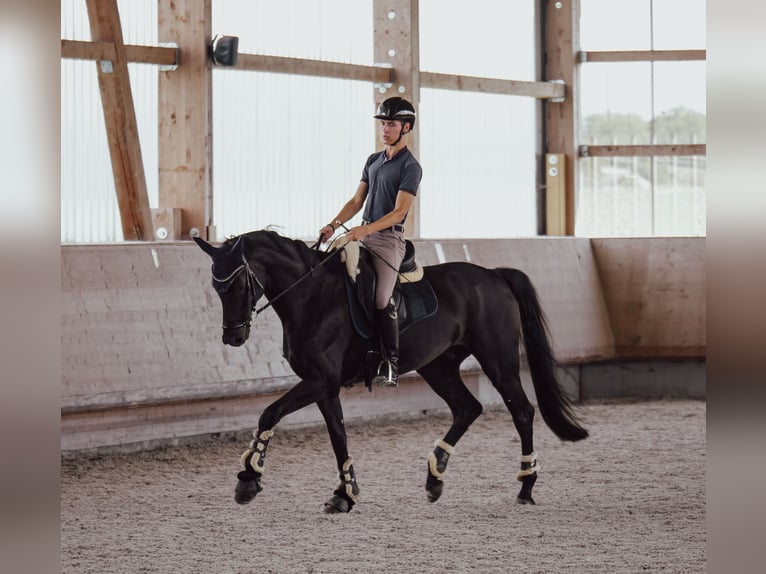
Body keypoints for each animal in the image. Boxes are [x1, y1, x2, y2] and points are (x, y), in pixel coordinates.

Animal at [194, 229, 588, 512]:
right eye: (215, 286)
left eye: (238, 282)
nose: (234, 337)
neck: (312, 296)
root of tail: (493, 275)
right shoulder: (325, 385)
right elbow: (338, 435)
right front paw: (345, 494)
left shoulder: (319, 381)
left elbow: (269, 413)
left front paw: (248, 477)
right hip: (438, 366)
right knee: (467, 408)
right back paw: (434, 478)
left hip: (498, 361)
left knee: (521, 411)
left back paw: (525, 485)